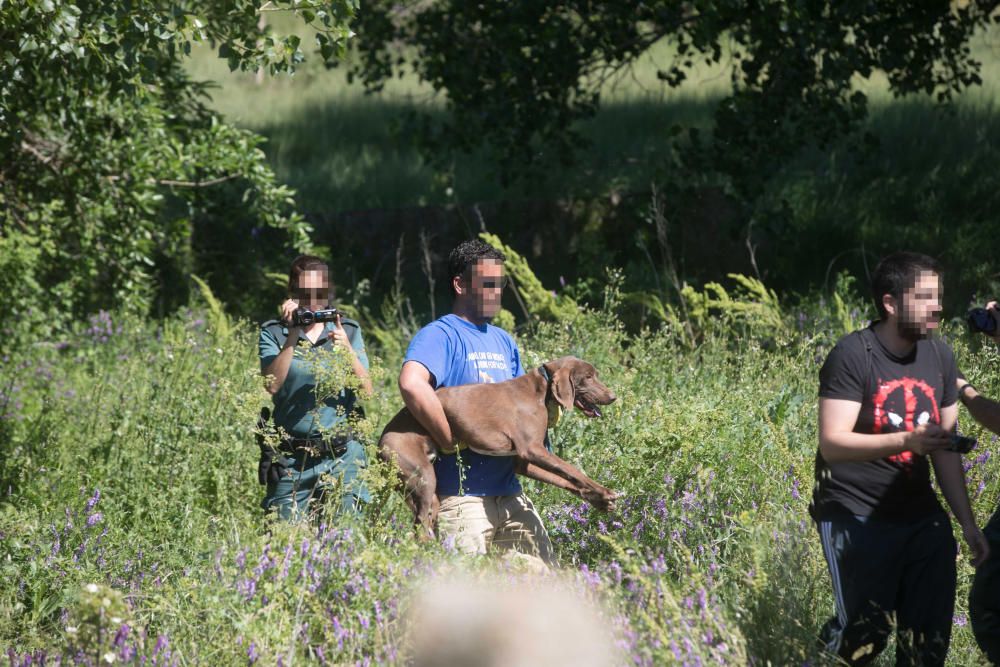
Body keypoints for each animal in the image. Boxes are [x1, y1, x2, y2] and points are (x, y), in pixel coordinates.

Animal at [378, 354, 616, 536]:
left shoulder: (523, 462)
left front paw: (598, 499)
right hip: (423, 476)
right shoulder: (532, 449)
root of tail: (379, 446)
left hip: (421, 490)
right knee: (420, 526)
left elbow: (565, 478)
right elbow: (572, 470)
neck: (542, 389)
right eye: (587, 377)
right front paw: (603, 491)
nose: (613, 397)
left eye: (595, 375)